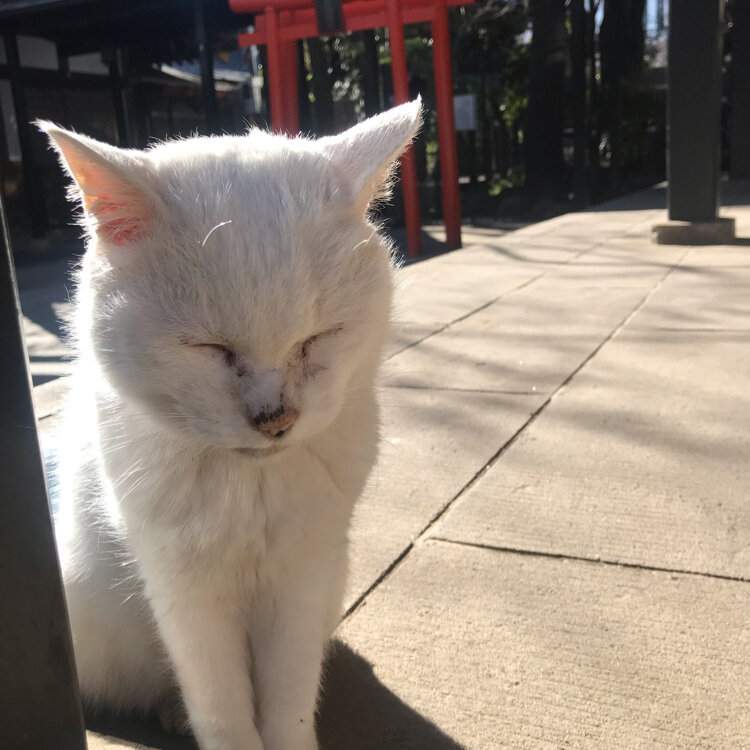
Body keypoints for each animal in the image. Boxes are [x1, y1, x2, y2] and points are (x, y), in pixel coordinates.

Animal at [42, 101, 424, 750]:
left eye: (316, 340)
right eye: (210, 350)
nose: (276, 420)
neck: (251, 491)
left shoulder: (303, 578)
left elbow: (289, 704)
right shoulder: (185, 592)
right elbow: (222, 706)